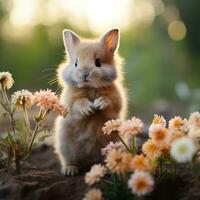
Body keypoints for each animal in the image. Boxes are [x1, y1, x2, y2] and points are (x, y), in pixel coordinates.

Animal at [54, 28, 127, 175]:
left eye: (98, 62)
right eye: (76, 63)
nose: (85, 74)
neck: (90, 88)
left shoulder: (116, 102)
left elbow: (110, 103)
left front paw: (99, 103)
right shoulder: (69, 104)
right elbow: (77, 105)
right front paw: (88, 108)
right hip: (66, 147)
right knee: (69, 160)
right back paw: (70, 170)